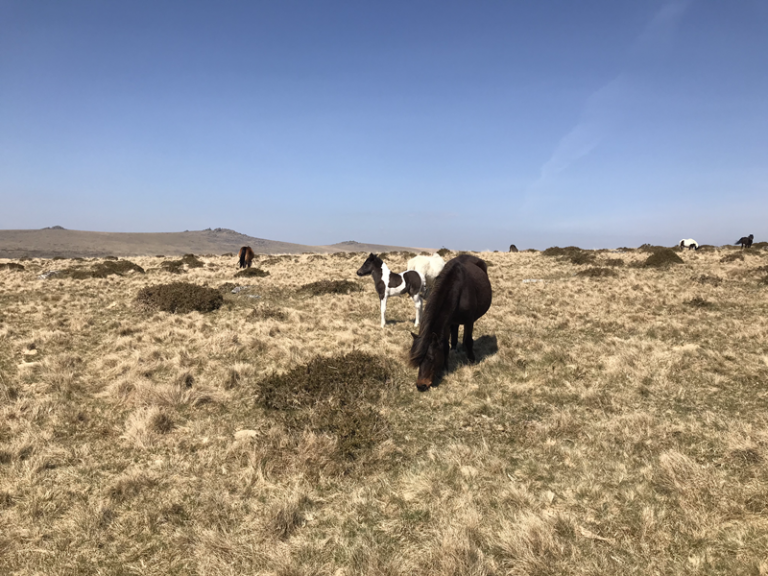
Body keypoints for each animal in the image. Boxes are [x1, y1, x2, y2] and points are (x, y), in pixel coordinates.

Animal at [409, 254, 492, 391]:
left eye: (431, 358)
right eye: (418, 359)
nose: (421, 385)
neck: (458, 289)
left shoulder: (469, 321)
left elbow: (468, 340)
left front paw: (471, 360)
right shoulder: (447, 323)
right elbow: (445, 345)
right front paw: (445, 368)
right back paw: (455, 348)